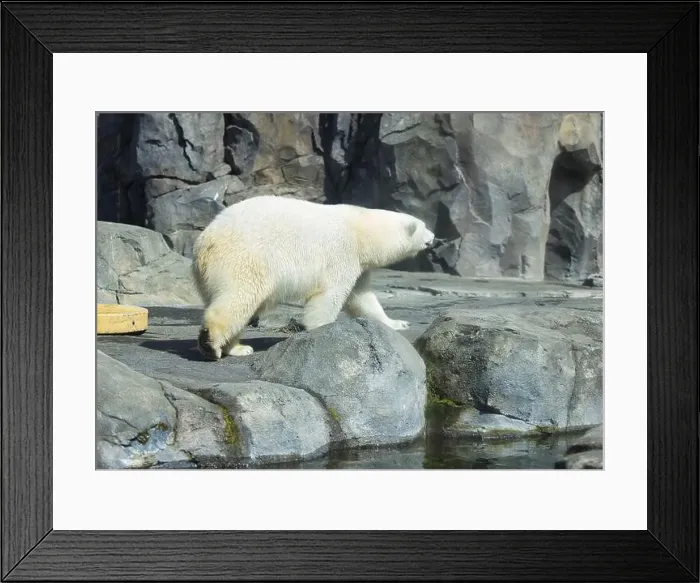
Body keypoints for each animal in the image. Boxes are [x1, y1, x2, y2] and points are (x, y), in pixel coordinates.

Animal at [191, 195, 435, 360]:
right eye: (424, 226)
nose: (433, 237)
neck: (361, 230)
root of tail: (203, 243)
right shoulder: (341, 252)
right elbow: (331, 293)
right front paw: (322, 328)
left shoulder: (358, 264)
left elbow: (362, 298)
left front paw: (398, 323)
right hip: (243, 259)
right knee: (239, 297)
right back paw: (211, 344)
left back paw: (238, 348)